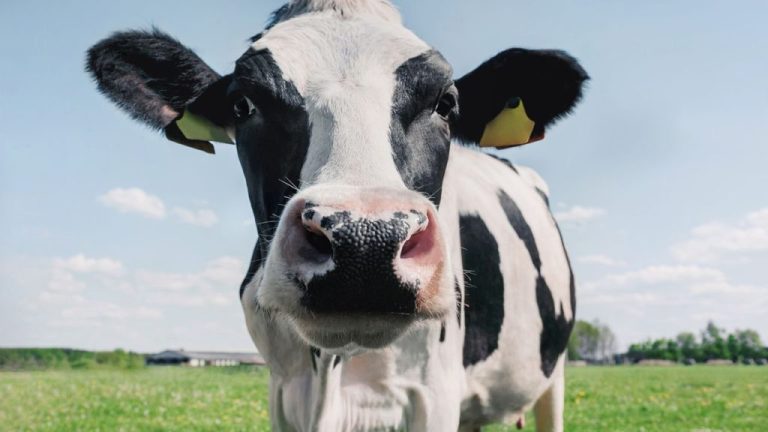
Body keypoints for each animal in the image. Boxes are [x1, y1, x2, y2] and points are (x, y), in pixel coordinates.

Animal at [86, 1, 587, 430]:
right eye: (243, 104)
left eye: (445, 103)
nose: (366, 242)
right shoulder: (283, 391)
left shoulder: (434, 393)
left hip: (553, 374)